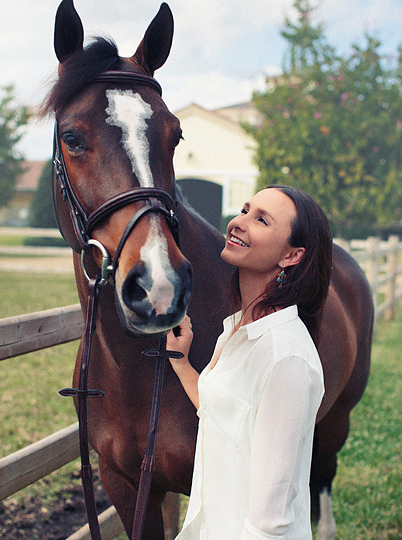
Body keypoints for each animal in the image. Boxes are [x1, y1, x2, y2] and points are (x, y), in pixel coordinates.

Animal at [42, 2, 372, 536]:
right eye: (71, 137)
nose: (159, 287)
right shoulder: (126, 484)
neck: (135, 370)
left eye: (175, 135)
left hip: (335, 421)